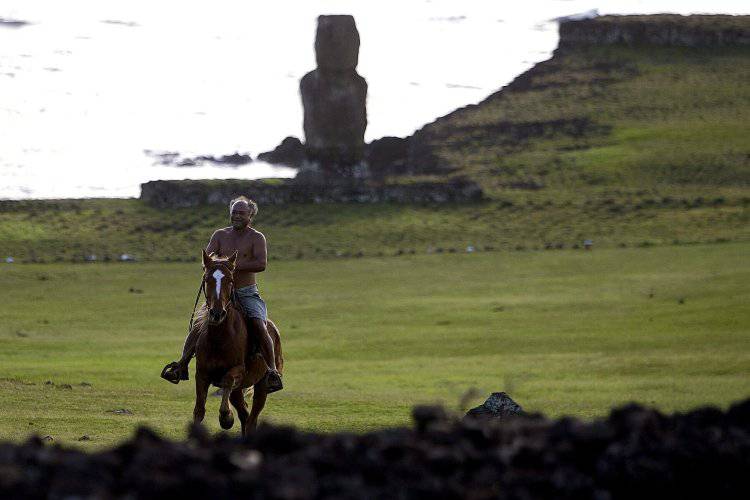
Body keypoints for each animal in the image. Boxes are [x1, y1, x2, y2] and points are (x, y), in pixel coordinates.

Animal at [194, 250, 284, 434]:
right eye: (207, 279)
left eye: (230, 280)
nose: (217, 313)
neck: (219, 338)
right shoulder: (201, 373)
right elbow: (199, 410)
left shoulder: (239, 371)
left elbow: (227, 379)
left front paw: (226, 418)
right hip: (238, 390)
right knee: (244, 416)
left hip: (261, 386)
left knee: (251, 419)